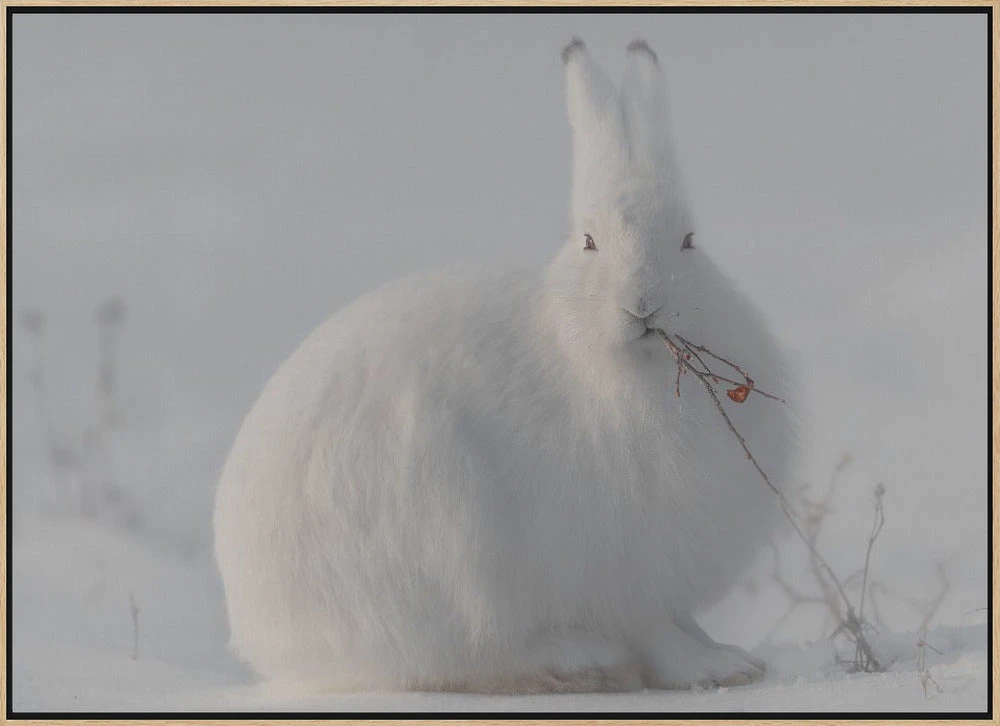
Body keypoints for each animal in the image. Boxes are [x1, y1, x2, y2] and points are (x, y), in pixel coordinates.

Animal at [213, 38, 795, 695]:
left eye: (690, 241)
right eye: (589, 242)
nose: (643, 304)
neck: (615, 367)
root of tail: (267, 639)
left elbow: (683, 620)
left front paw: (733, 657)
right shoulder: (616, 569)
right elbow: (655, 632)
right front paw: (710, 670)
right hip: (446, 544)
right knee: (467, 656)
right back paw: (580, 656)